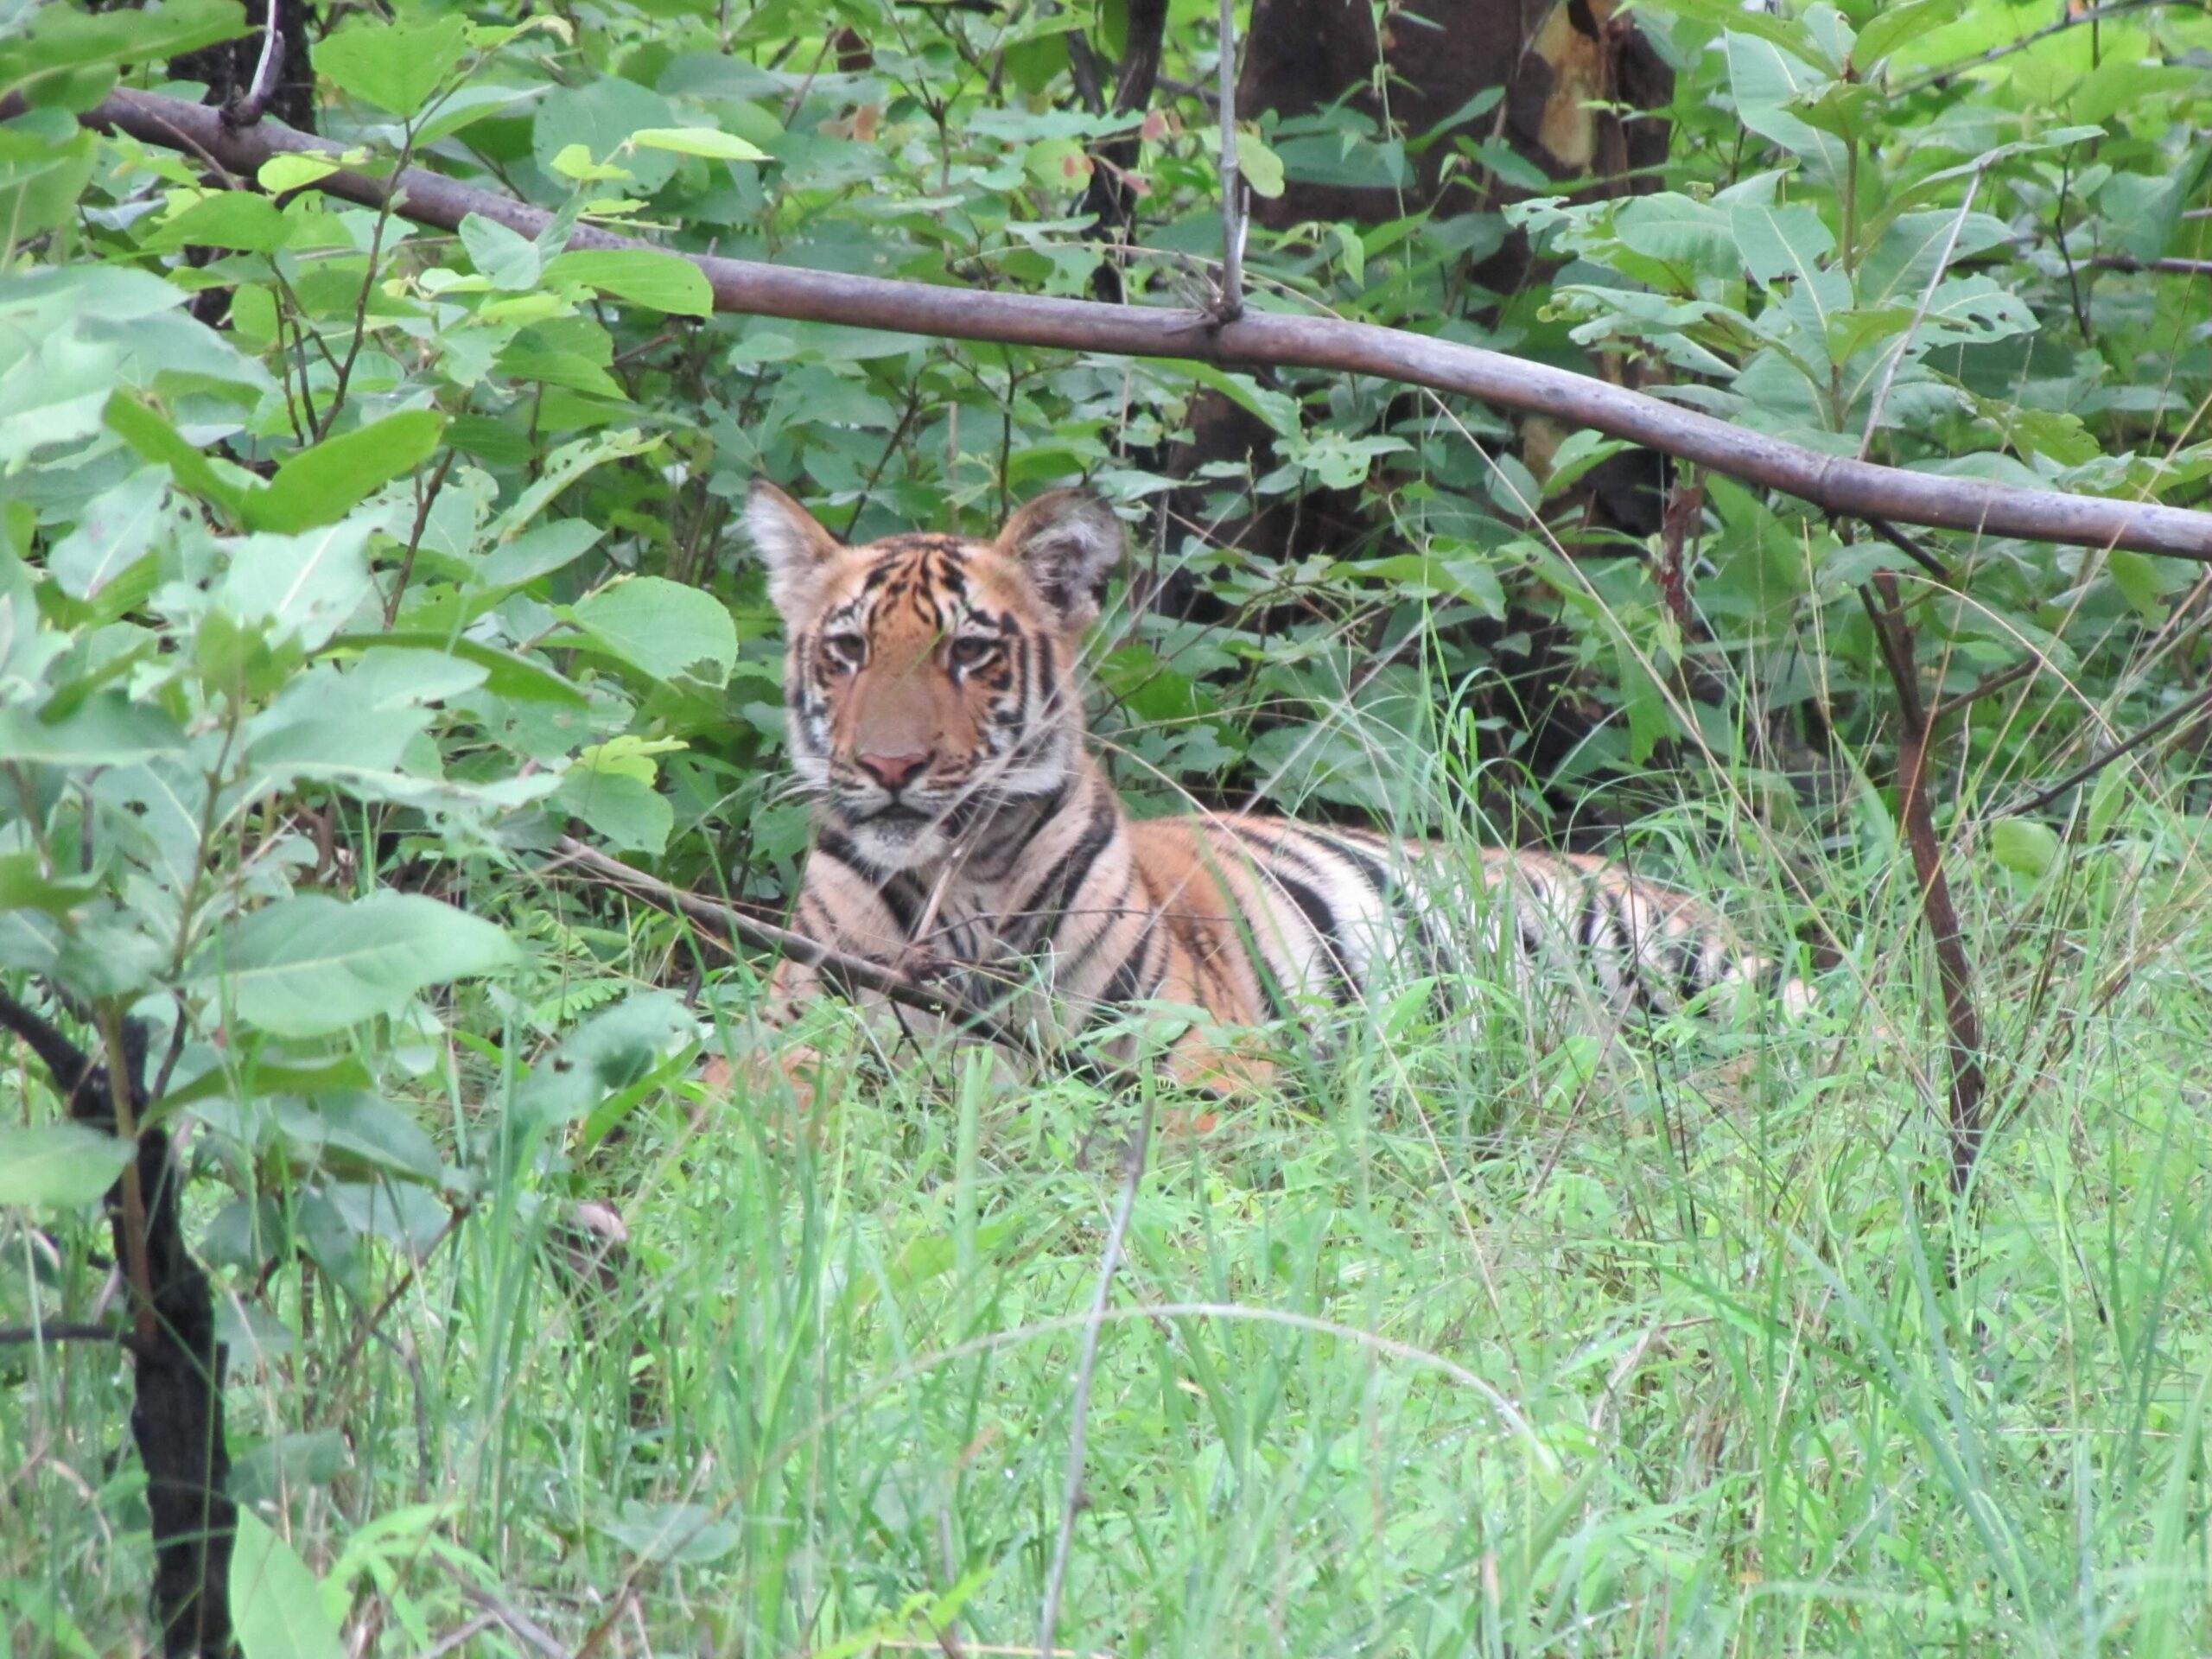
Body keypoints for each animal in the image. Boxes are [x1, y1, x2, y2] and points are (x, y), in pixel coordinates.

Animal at [745, 479, 1805, 1090]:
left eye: (968, 653)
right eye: (847, 652)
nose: (890, 769)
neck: (956, 883)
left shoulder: (1195, 1055)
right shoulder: (784, 1037)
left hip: (1676, 960)